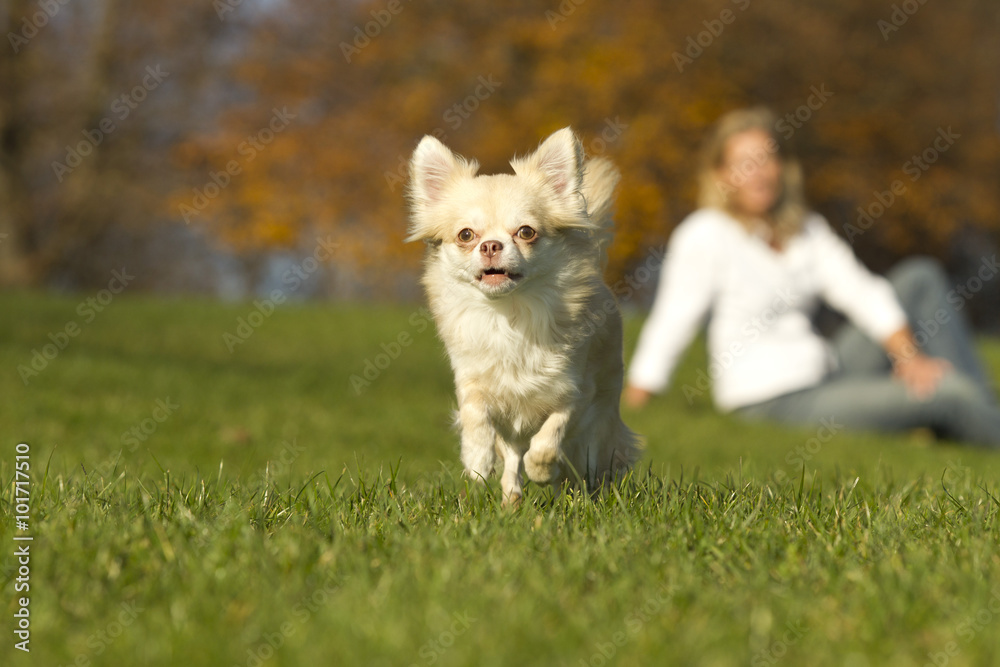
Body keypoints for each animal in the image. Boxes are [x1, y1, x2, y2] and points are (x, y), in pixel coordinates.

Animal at [406, 126, 640, 506]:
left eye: (526, 232)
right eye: (466, 235)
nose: (490, 245)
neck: (510, 314)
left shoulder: (575, 394)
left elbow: (550, 436)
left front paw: (542, 469)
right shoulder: (475, 384)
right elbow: (475, 415)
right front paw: (476, 458)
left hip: (600, 424)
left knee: (584, 462)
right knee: (513, 457)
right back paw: (511, 500)